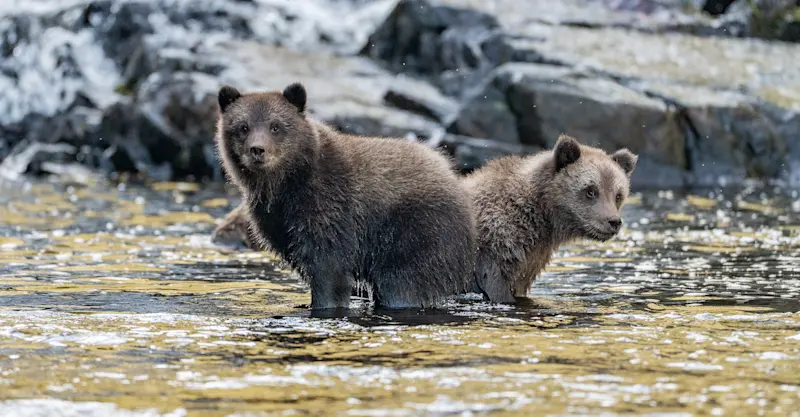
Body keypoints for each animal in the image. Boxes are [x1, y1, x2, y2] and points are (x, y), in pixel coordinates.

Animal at [214, 82, 477, 310]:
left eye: (275, 126)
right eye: (243, 127)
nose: (257, 150)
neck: (286, 184)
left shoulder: (329, 207)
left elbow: (329, 268)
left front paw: (322, 303)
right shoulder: (277, 221)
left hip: (415, 233)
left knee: (402, 283)